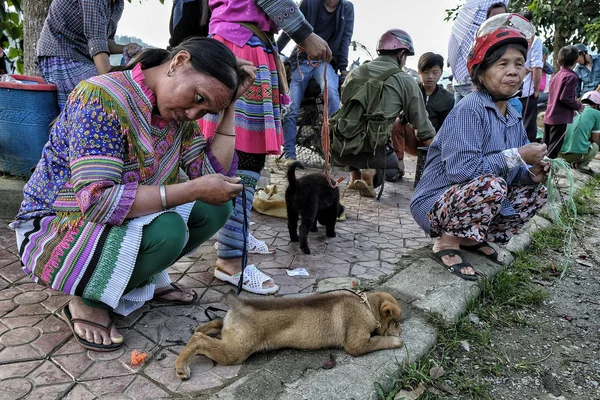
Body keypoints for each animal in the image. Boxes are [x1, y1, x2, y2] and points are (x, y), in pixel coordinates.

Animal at [176, 290, 406, 380]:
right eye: (396, 322)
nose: (402, 330)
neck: (367, 306)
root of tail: (238, 304)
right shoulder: (357, 344)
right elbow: (378, 341)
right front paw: (396, 340)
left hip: (229, 335)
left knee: (211, 325)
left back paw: (201, 330)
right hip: (236, 350)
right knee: (199, 340)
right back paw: (181, 367)